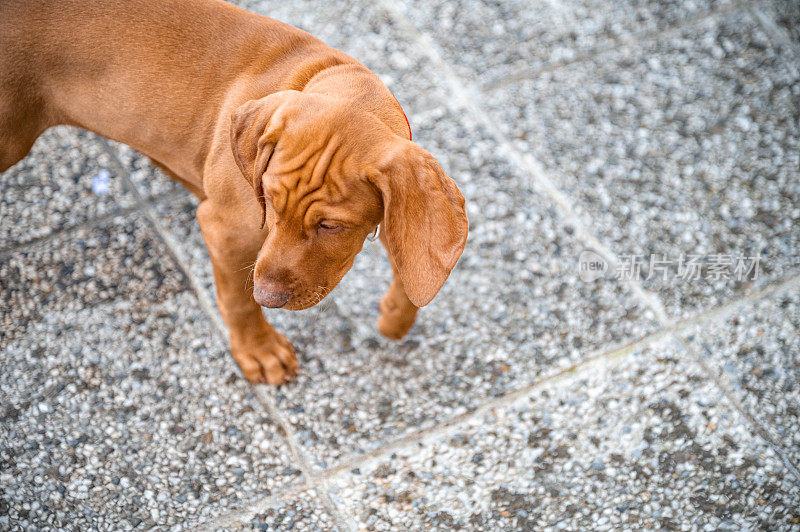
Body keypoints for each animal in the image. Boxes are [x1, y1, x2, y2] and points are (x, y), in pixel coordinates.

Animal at [0, 0, 468, 382]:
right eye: (270, 204)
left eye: (332, 226)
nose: (270, 298)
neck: (320, 73)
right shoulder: (226, 229)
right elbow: (238, 300)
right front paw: (258, 350)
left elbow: (414, 256)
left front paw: (398, 315)